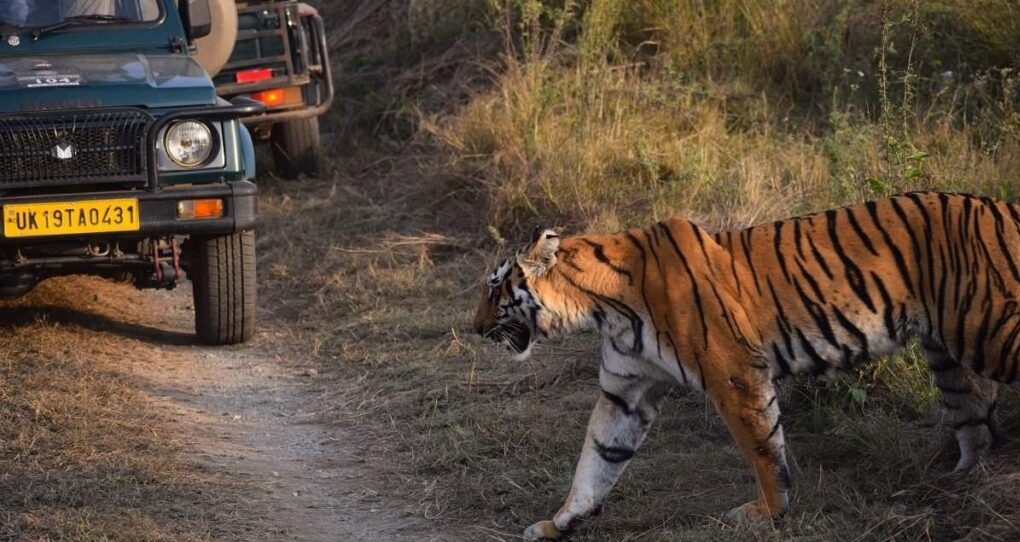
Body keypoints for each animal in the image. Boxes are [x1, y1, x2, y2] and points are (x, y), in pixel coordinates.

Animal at [473, 190, 1020, 538]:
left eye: (494, 290)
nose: (475, 329)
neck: (601, 306)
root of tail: (1004, 206)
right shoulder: (625, 392)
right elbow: (598, 458)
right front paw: (559, 522)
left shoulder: (733, 372)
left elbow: (762, 449)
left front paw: (768, 513)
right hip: (947, 353)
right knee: (974, 424)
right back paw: (958, 481)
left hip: (988, 329)